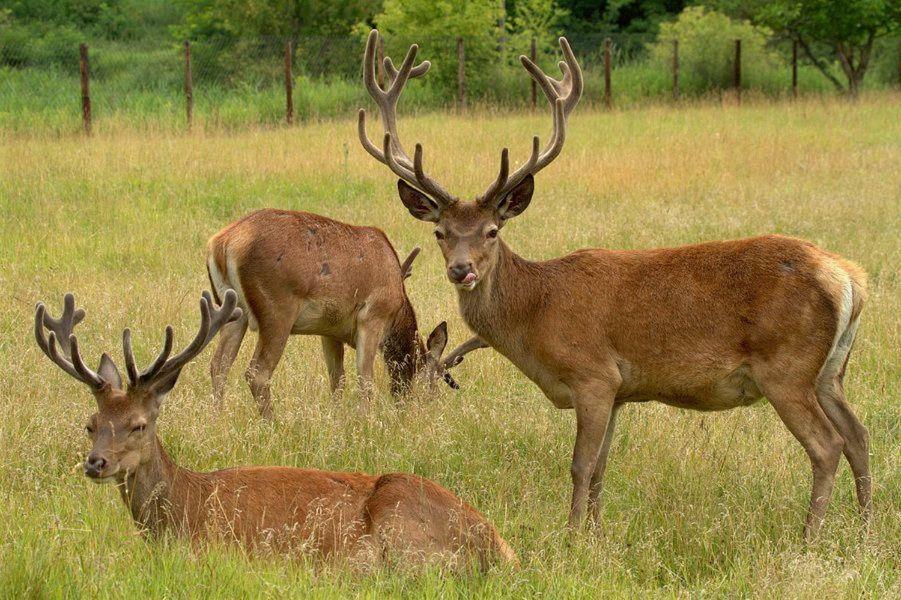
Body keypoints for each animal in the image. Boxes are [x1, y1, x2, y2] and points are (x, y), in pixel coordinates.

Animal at [35, 292, 516, 568]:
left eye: (138, 425)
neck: (185, 510)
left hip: (402, 527)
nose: (95, 463)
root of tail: (500, 548)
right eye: (91, 424)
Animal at [205, 211, 464, 418]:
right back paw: (272, 424)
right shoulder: (372, 316)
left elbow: (337, 380)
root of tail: (223, 244)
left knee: (219, 365)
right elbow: (365, 380)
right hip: (277, 310)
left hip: (233, 310)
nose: (427, 411)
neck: (397, 308)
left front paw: (338, 419)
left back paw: (218, 420)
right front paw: (366, 424)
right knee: (257, 372)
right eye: (435, 383)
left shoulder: (330, 330)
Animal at [356, 30, 864, 540]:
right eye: (440, 232)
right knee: (858, 436)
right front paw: (597, 533)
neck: (536, 311)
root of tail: (848, 278)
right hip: (829, 371)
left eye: (492, 231)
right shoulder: (620, 389)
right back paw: (865, 528)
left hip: (786, 365)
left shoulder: (593, 374)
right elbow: (601, 467)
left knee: (827, 444)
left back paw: (809, 537)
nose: (462, 270)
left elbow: (580, 465)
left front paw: (572, 536)